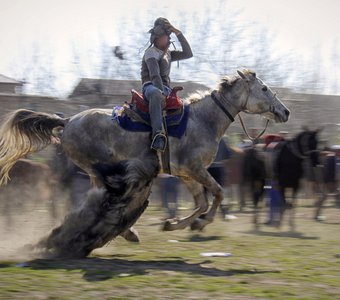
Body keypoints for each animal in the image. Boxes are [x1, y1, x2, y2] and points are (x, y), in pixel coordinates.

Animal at [0, 69, 290, 241]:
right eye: (264, 89)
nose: (285, 111)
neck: (203, 120)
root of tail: (68, 120)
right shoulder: (195, 169)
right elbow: (217, 194)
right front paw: (200, 224)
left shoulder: (185, 174)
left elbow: (201, 202)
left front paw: (175, 224)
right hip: (98, 168)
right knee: (103, 200)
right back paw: (123, 231)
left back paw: (125, 232)